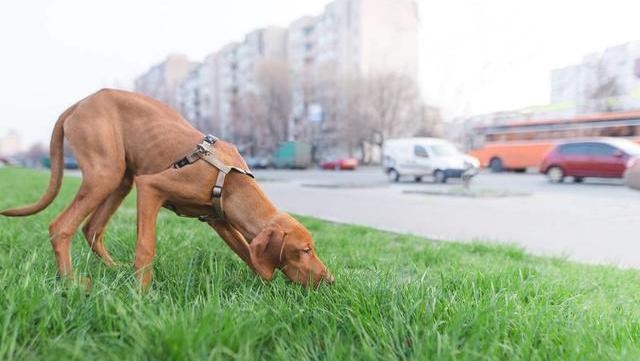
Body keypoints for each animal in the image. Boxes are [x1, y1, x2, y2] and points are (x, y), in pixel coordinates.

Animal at [1, 88, 336, 288]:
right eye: (305, 250)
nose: (331, 280)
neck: (229, 178)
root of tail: (79, 103)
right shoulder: (150, 187)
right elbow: (145, 248)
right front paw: (142, 296)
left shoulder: (218, 219)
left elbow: (248, 254)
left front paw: (268, 288)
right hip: (106, 174)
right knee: (61, 227)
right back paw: (72, 282)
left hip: (121, 178)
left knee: (92, 228)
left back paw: (114, 270)